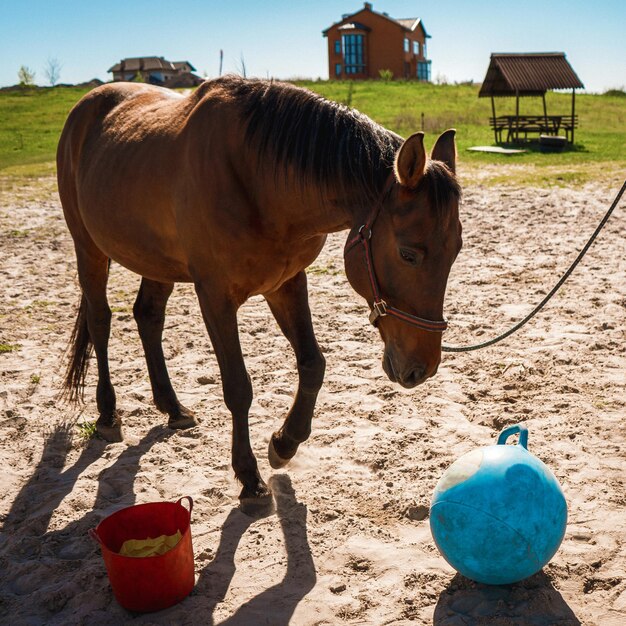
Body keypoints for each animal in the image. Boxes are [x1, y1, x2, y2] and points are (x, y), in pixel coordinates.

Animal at [57, 75, 458, 504]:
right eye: (408, 254)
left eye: (456, 251)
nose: (421, 368)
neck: (257, 178)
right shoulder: (215, 297)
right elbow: (238, 387)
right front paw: (248, 476)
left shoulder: (286, 284)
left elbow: (313, 365)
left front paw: (284, 443)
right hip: (88, 248)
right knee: (100, 321)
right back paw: (107, 413)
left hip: (155, 261)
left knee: (148, 317)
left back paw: (173, 408)